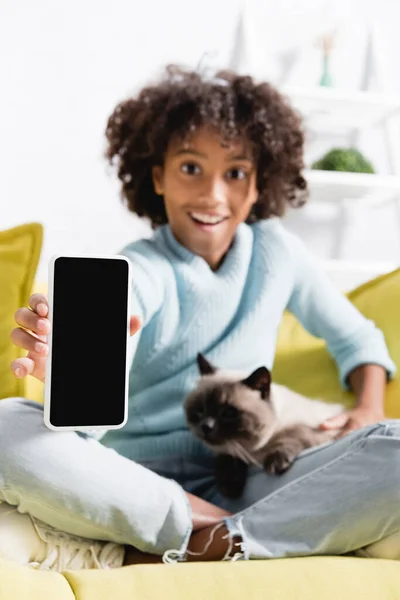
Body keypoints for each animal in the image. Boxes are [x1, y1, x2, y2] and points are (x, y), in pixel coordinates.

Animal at [184, 354, 344, 500]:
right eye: (200, 410)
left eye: (228, 413)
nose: (206, 426)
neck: (256, 453)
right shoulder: (230, 450)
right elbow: (227, 457)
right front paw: (229, 487)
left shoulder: (317, 430)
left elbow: (292, 433)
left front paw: (276, 462)